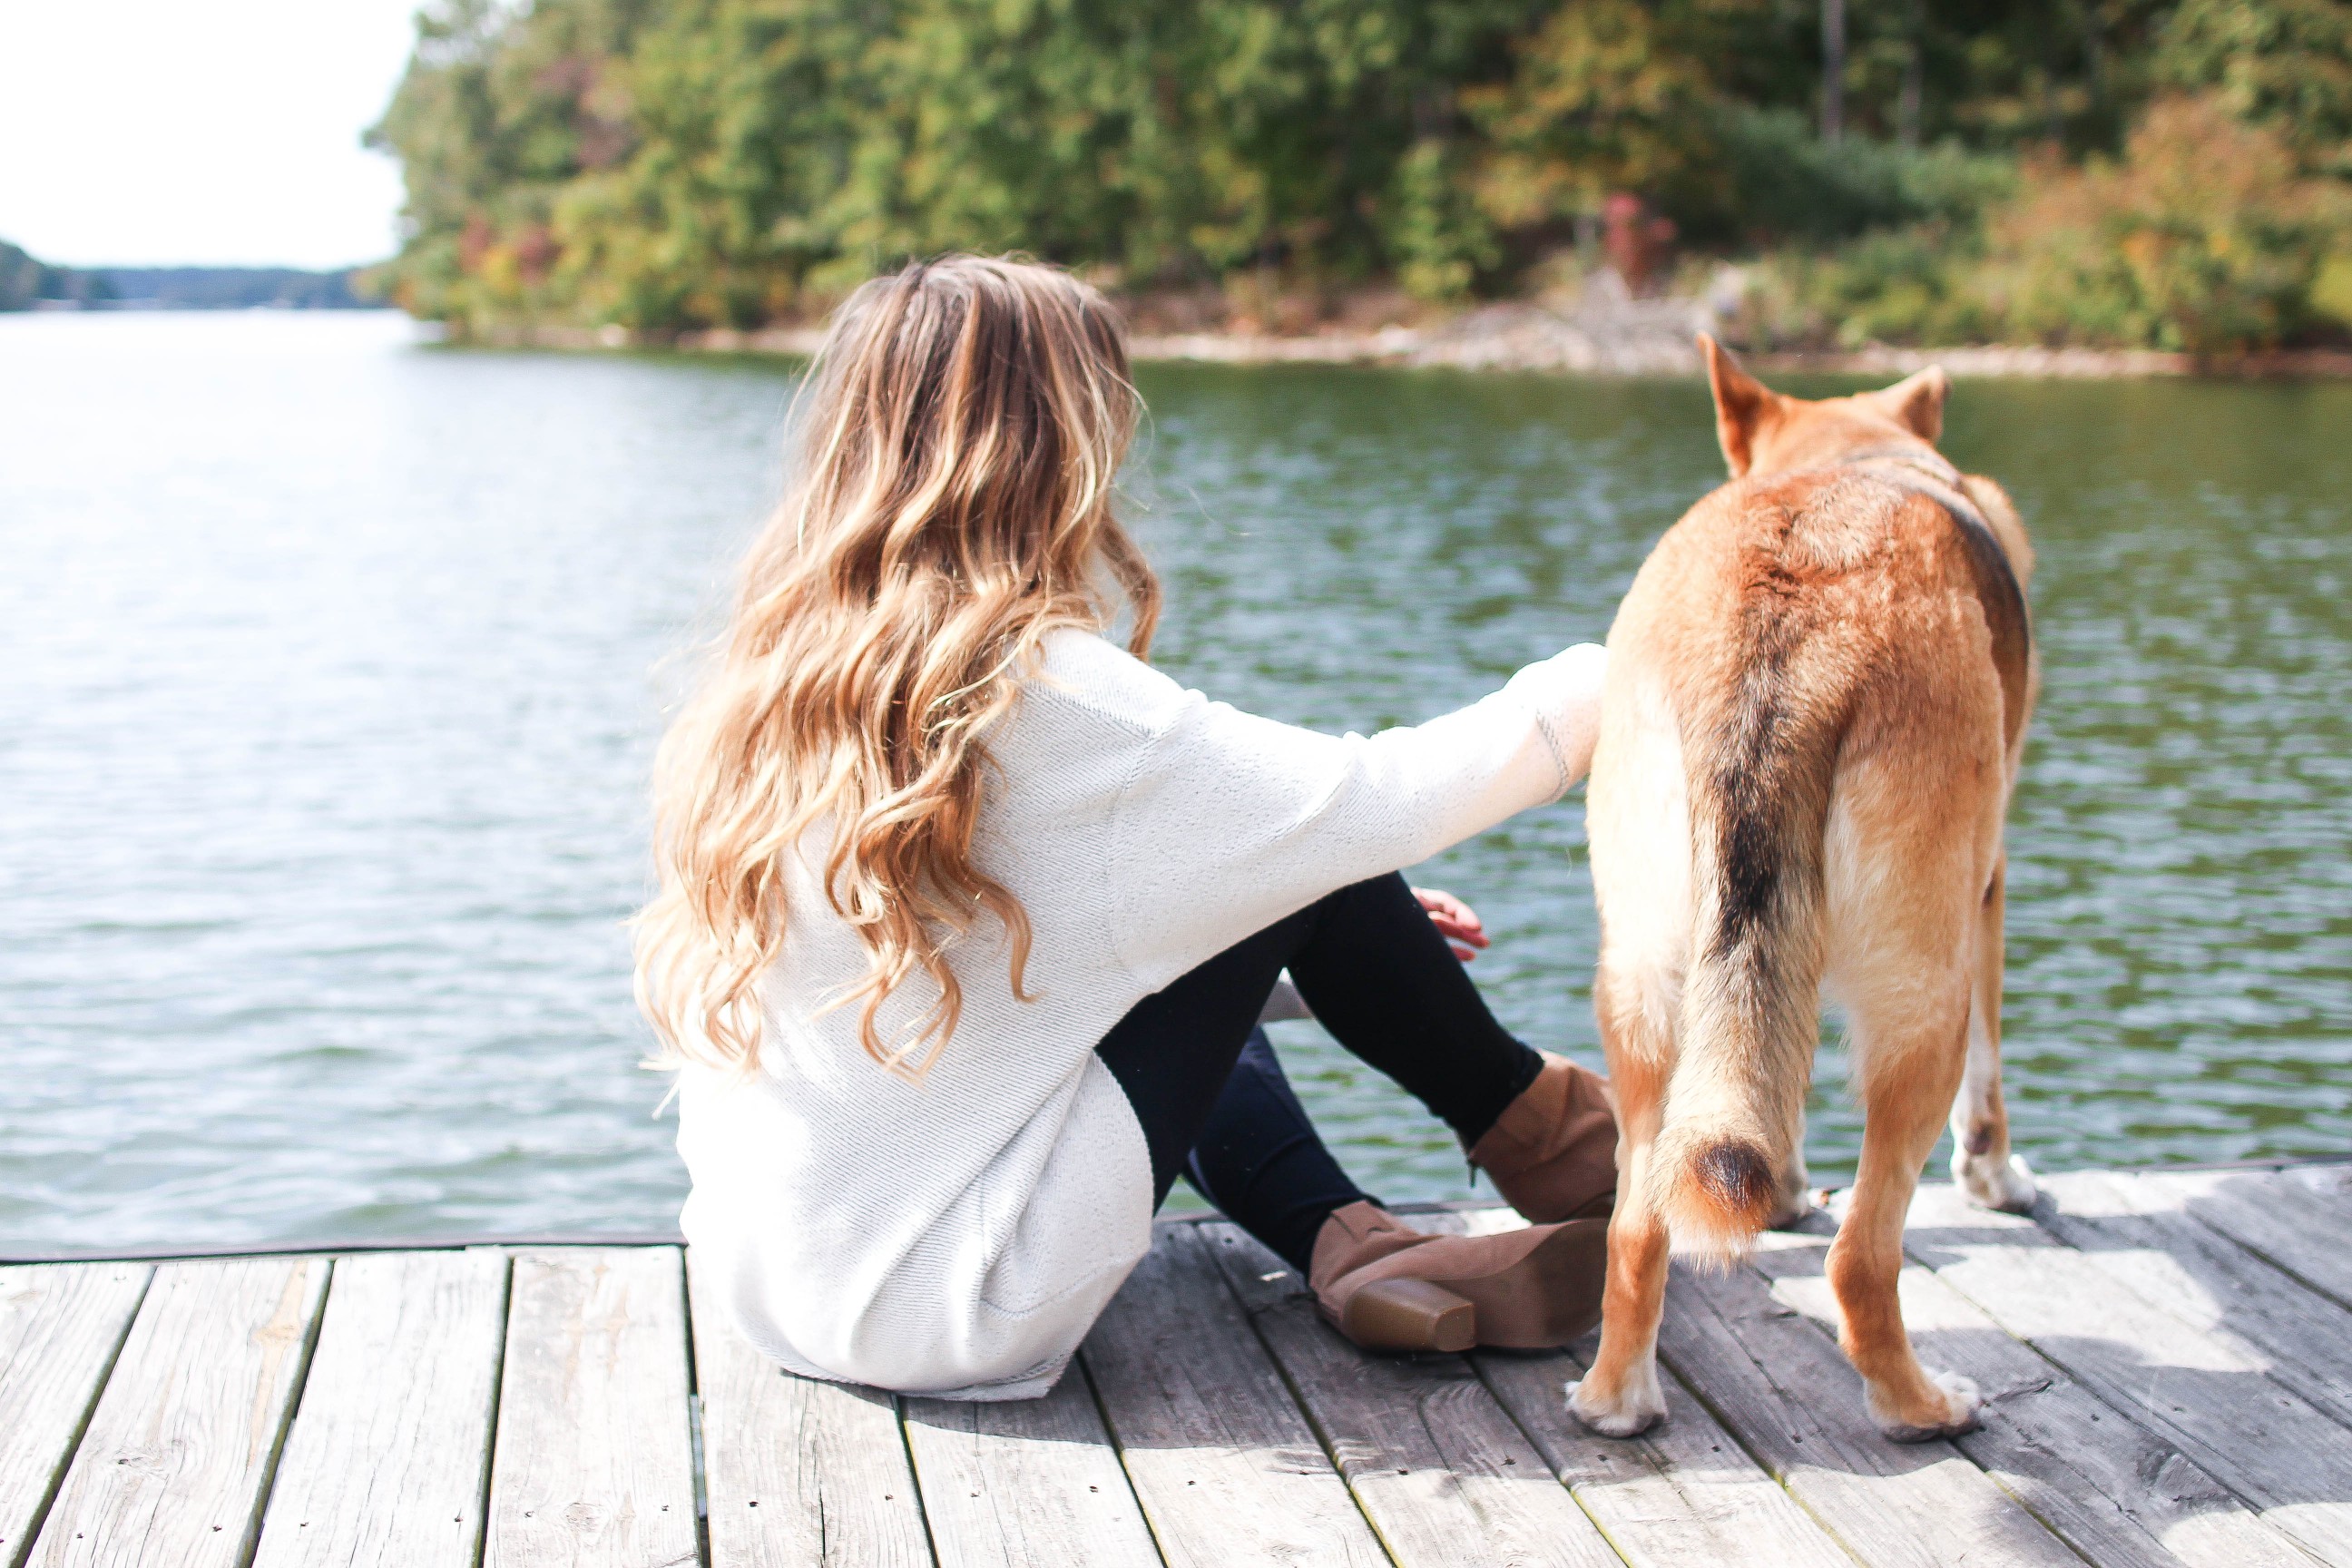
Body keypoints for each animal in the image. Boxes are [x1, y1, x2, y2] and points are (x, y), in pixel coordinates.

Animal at [1571, 338, 2051, 1438]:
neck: (1847, 456)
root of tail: (1787, 638)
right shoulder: (1987, 888)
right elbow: (1992, 1078)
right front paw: (1998, 1175)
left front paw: (1781, 1190)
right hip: (1923, 1003)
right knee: (1862, 1260)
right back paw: (1921, 1405)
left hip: (1642, 995)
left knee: (1638, 1226)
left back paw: (1617, 1399)